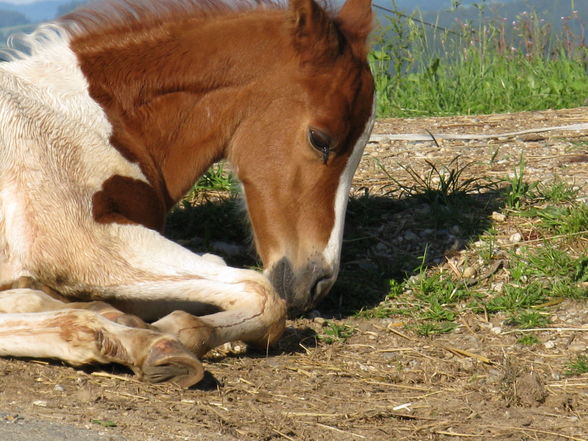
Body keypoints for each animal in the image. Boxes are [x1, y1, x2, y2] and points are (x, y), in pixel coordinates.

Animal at [0, 0, 374, 384]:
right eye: (320, 139)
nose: (317, 282)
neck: (88, 117)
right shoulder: (79, 244)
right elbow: (261, 294)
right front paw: (176, 328)